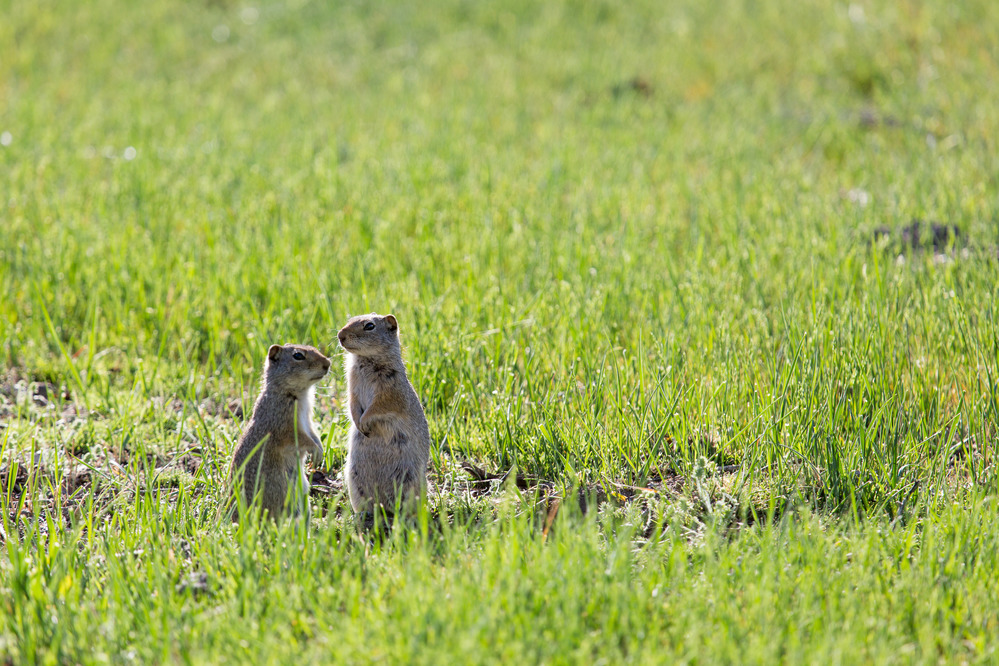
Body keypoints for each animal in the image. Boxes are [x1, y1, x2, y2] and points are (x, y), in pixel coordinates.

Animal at [228, 343, 331, 520]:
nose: (328, 363)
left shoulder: (308, 421)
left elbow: (313, 434)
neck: (300, 394)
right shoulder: (285, 426)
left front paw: (320, 449)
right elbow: (301, 439)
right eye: (298, 356)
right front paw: (316, 450)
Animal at [337, 313, 430, 516]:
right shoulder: (352, 387)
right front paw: (359, 423)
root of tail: (384, 507)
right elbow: (352, 404)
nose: (340, 335)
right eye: (349, 320)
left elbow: (378, 407)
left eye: (369, 326)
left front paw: (364, 422)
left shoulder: (389, 391)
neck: (366, 360)